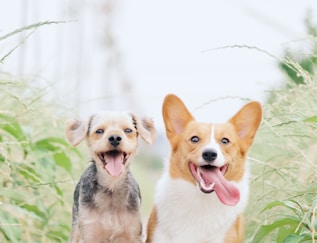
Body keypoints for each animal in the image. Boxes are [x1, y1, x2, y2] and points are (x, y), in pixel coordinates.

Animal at [65, 111, 156, 242]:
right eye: (99, 131)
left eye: (128, 130)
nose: (115, 138)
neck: (111, 187)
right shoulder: (89, 231)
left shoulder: (132, 233)